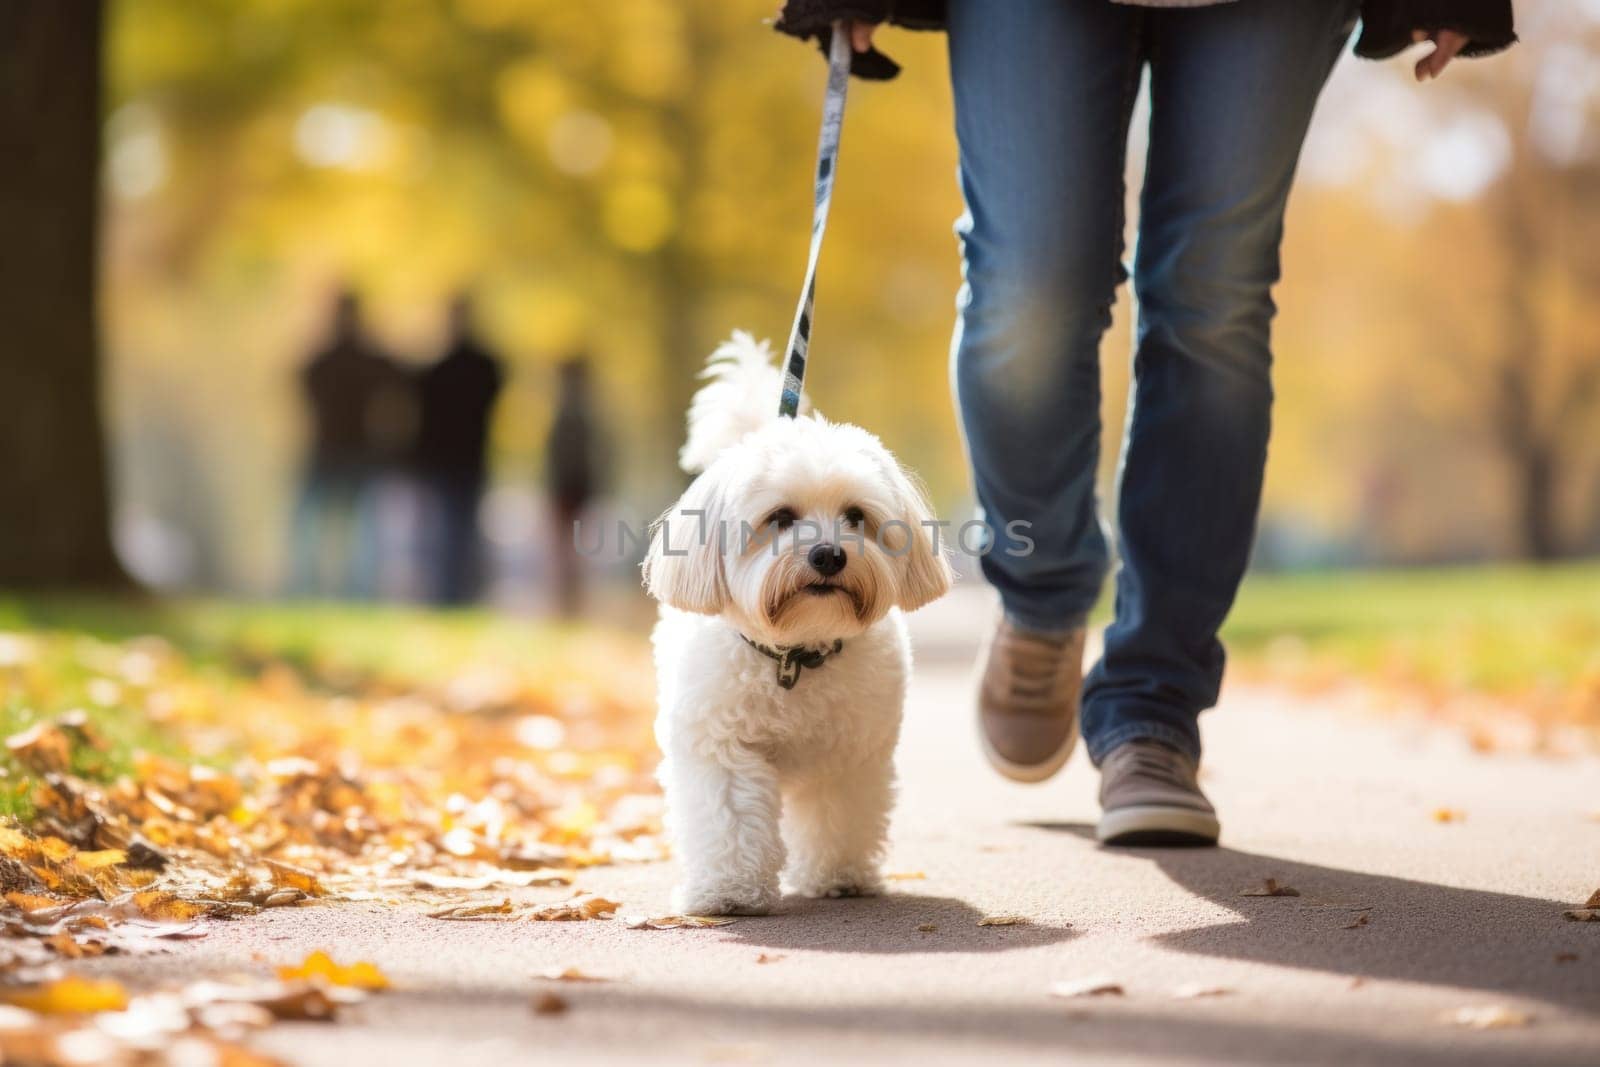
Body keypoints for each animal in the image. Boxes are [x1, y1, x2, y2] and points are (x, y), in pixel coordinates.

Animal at [643, 335, 947, 921]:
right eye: (781, 517)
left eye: (855, 515)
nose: (828, 555)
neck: (794, 656)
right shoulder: (721, 749)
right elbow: (730, 818)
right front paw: (730, 892)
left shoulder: (850, 756)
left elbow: (840, 815)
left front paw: (838, 877)